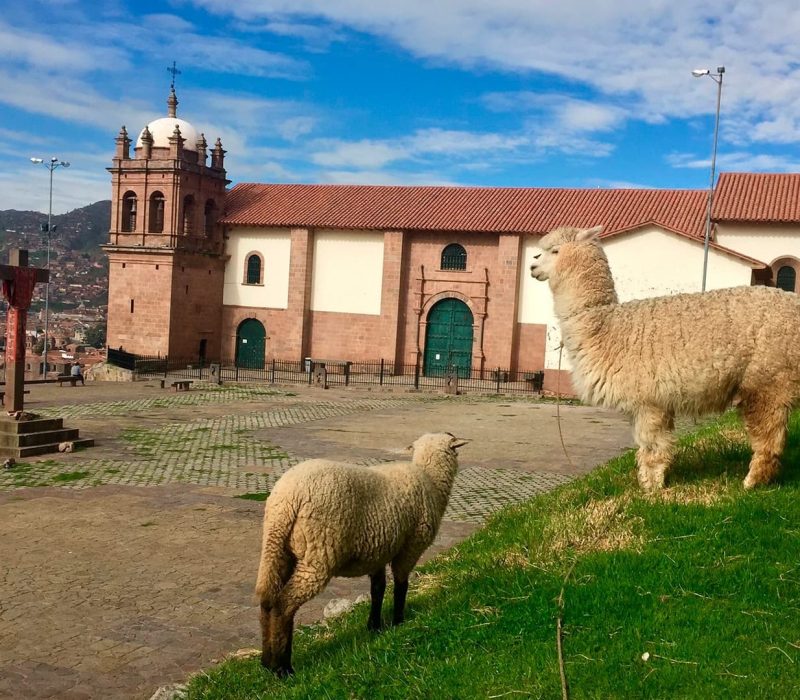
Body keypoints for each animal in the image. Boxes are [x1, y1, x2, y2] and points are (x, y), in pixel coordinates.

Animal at [256, 430, 466, 676]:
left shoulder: (379, 550)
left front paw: (374, 626)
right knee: (284, 604)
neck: (430, 479)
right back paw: (283, 667)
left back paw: (267, 661)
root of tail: (287, 500)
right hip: (318, 555)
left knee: (267, 600)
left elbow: (377, 589)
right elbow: (401, 585)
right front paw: (398, 621)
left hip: (278, 549)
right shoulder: (410, 547)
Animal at [532, 227, 800, 490]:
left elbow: (652, 447)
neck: (608, 328)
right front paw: (652, 482)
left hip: (768, 378)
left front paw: (652, 488)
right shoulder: (654, 402)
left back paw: (751, 482)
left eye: (554, 250)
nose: (533, 265)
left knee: (768, 436)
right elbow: (653, 445)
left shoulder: (649, 401)